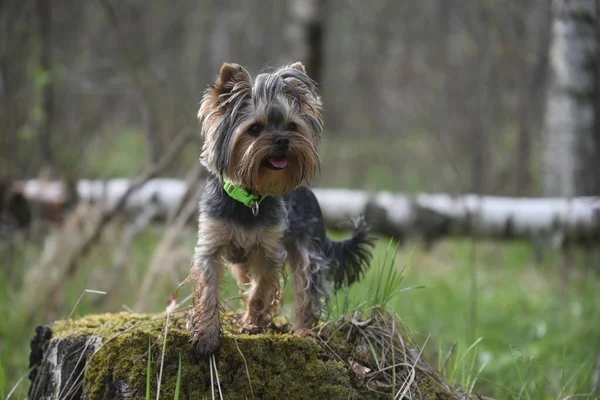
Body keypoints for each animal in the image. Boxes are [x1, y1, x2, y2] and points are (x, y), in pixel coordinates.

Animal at [185, 60, 376, 356]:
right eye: (255, 129)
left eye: (292, 126)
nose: (283, 140)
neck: (250, 199)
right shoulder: (210, 245)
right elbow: (208, 288)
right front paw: (206, 335)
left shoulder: (270, 251)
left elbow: (260, 289)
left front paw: (252, 323)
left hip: (309, 249)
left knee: (307, 290)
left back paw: (305, 329)